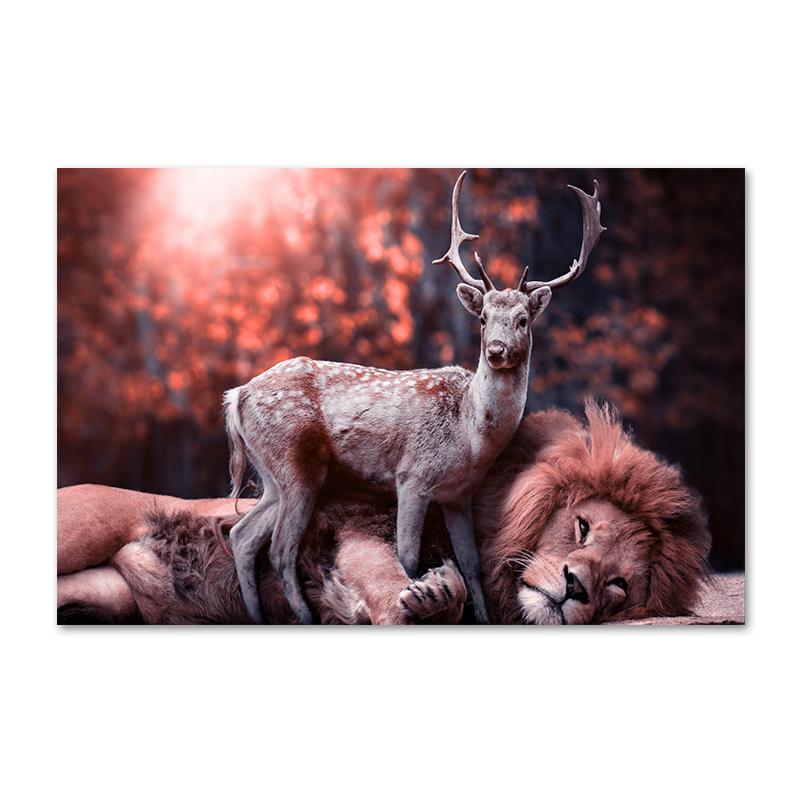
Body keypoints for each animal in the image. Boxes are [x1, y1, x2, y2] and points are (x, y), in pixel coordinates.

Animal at [57, 402, 711, 624]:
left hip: (106, 594)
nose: (576, 587)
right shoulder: (359, 527)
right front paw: (425, 598)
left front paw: (441, 595)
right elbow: (389, 586)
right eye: (581, 526)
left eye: (619, 587)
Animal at [223, 170, 605, 624]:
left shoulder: (459, 494)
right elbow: (408, 557)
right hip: (294, 463)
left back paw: (256, 615)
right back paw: (303, 616)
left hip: (271, 475)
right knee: (281, 548)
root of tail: (236, 396)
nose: (496, 350)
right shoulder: (412, 477)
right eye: (482, 318)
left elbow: (472, 564)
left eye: (523, 320)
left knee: (242, 534)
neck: (470, 436)